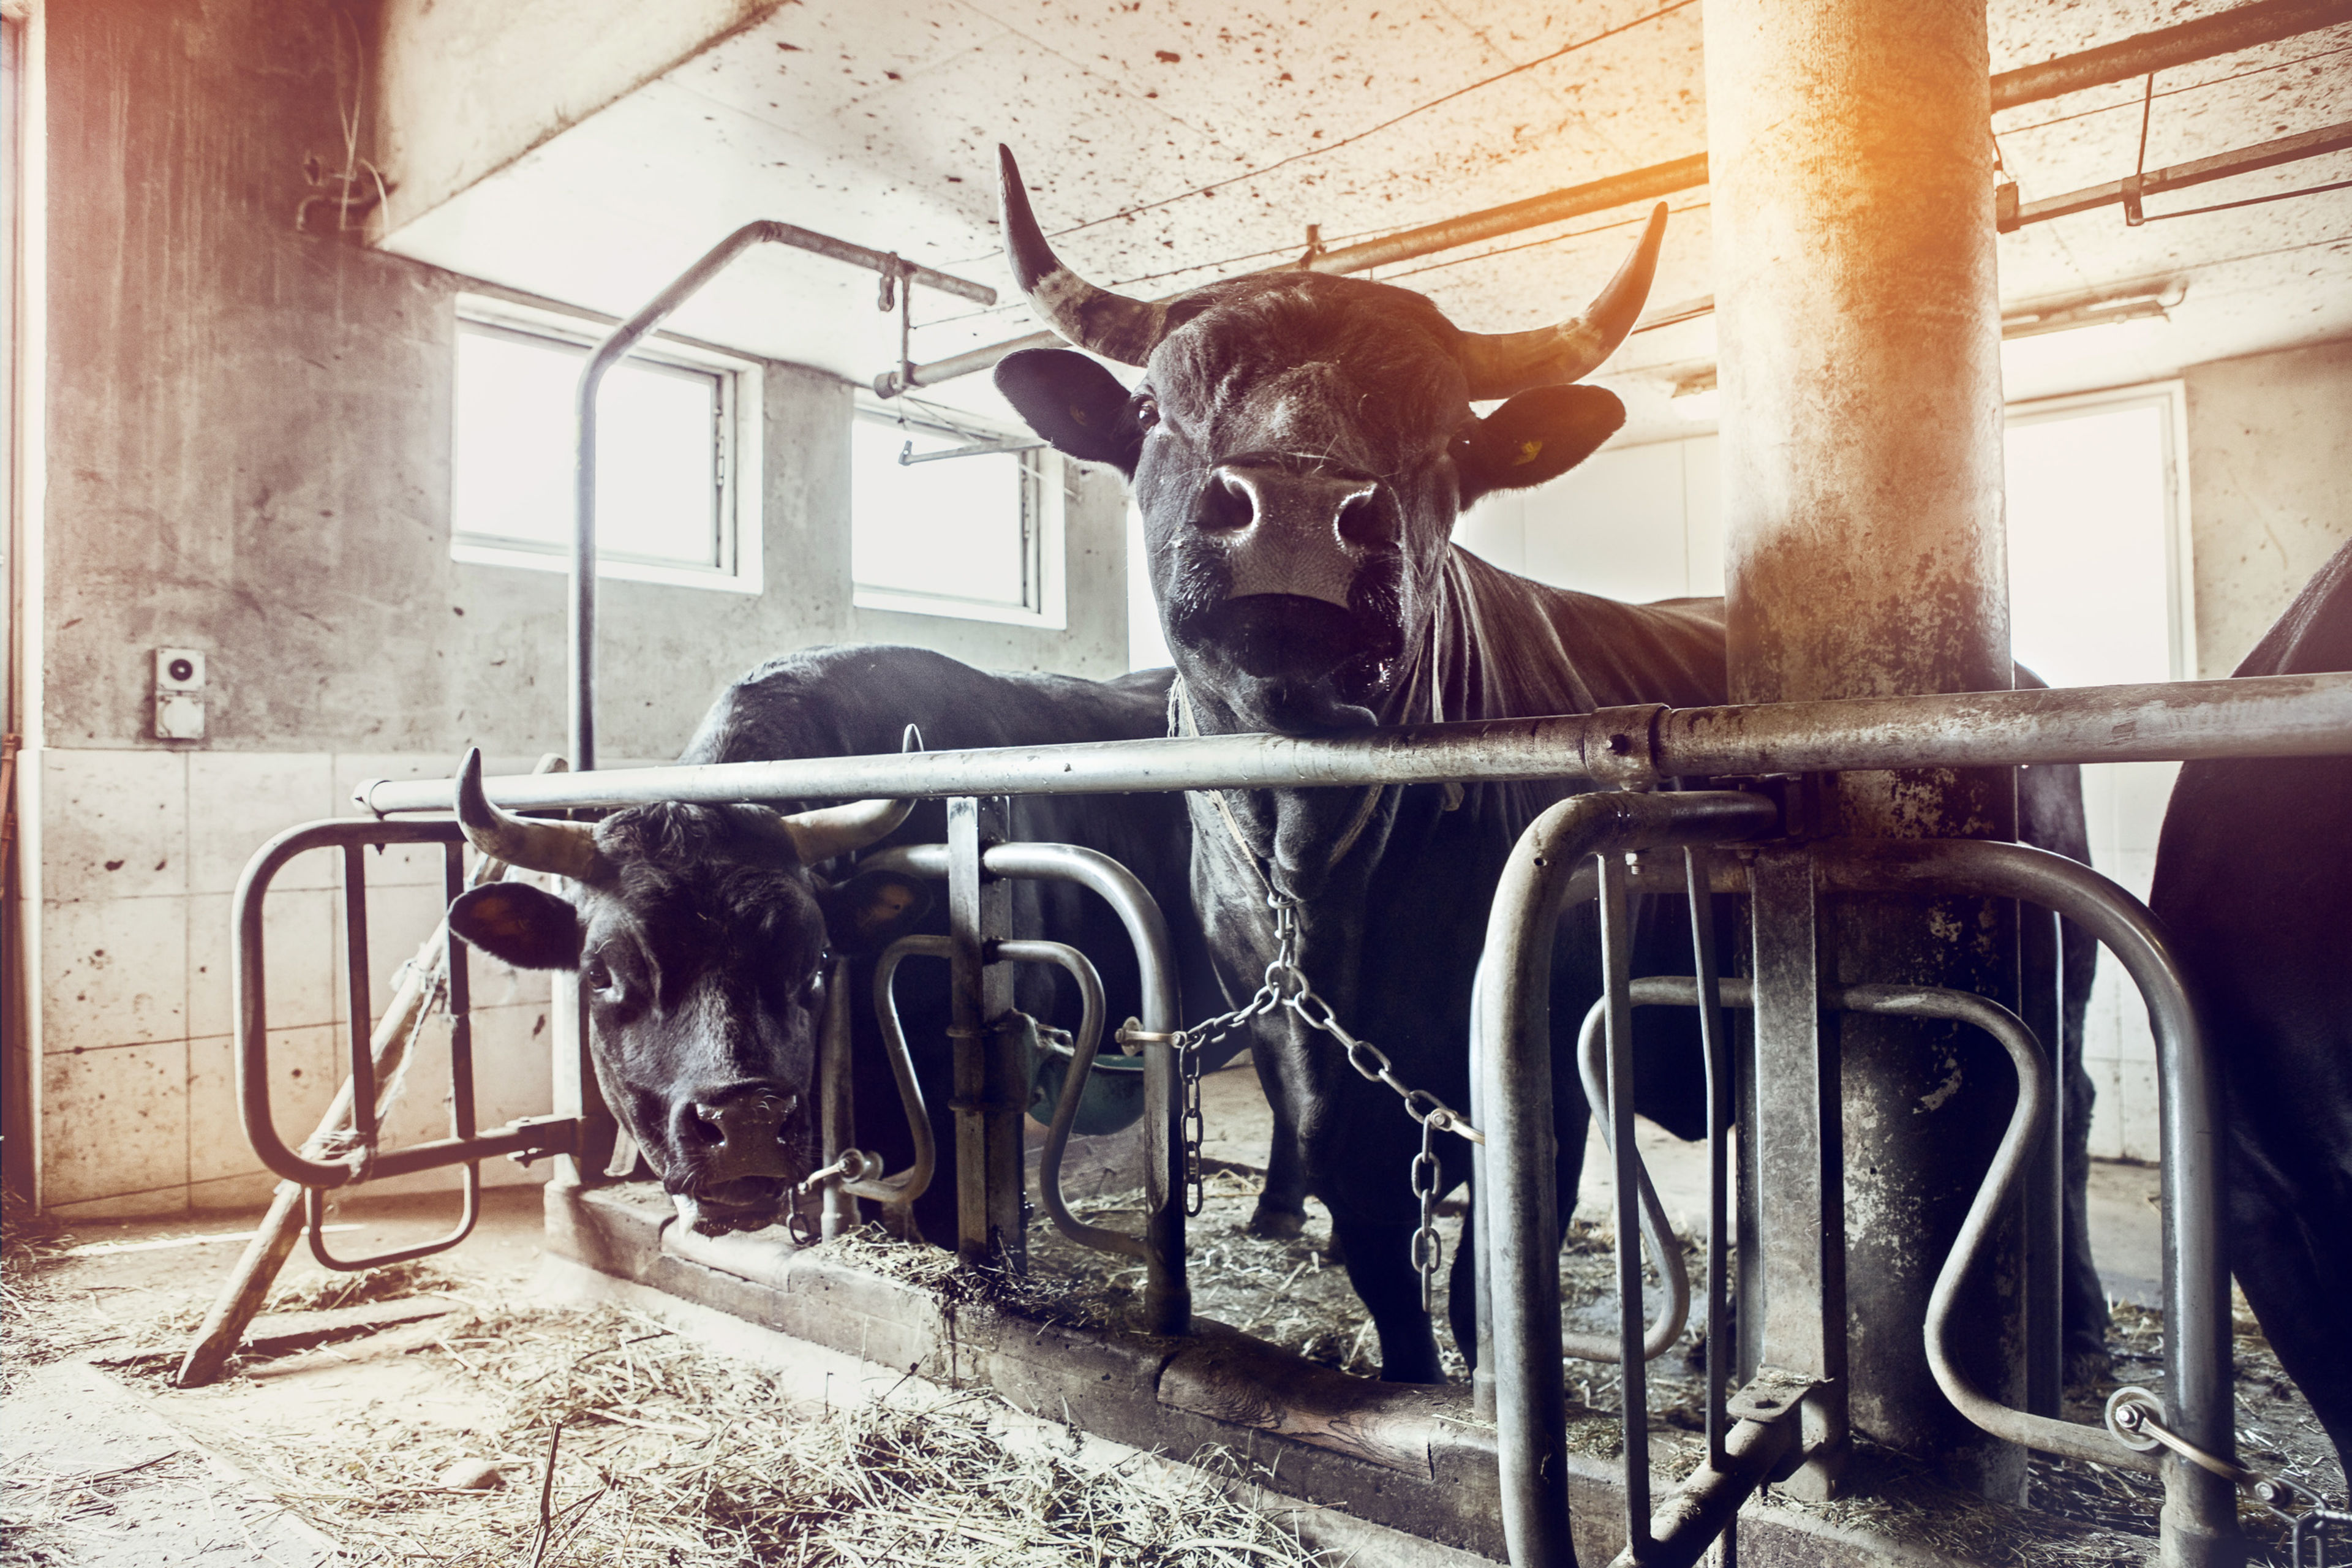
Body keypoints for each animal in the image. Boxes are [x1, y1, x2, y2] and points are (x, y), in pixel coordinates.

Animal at [988, 145, 2107, 1383]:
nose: (1295, 511)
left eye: (1448, 435)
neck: (1317, 866)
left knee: (2061, 1100)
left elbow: (1485, 1291)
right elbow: (1387, 1276)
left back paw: (2078, 1317)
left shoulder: (1538, 1075)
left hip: (2055, 964)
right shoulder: (1306, 1071)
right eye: (1152, 407)